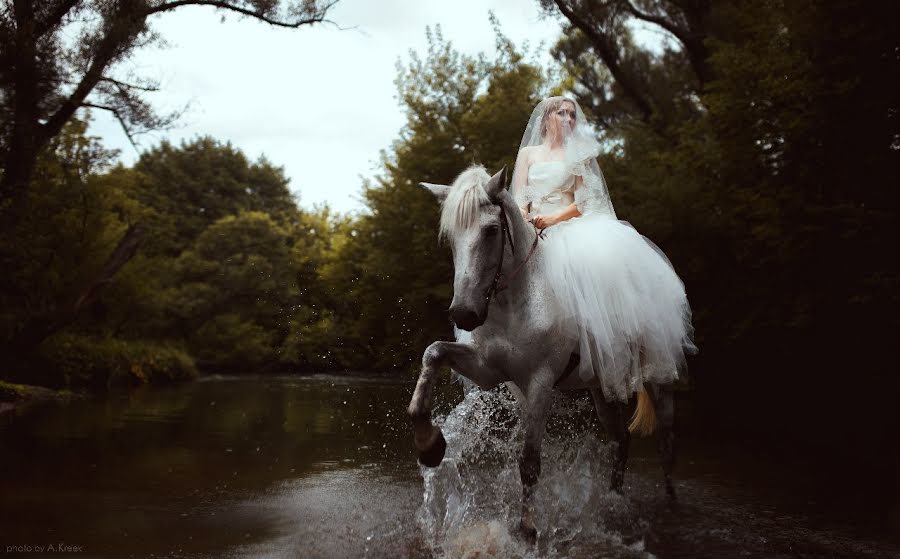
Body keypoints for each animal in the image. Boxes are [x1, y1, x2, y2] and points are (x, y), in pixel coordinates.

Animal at [408, 165, 676, 544]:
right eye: (450, 237)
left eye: (491, 231)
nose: (464, 314)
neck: (513, 303)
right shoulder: (487, 371)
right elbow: (432, 354)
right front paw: (429, 445)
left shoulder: (541, 382)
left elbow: (530, 462)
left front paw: (528, 529)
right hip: (602, 389)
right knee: (621, 441)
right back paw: (613, 500)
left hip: (658, 378)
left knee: (666, 443)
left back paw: (670, 503)